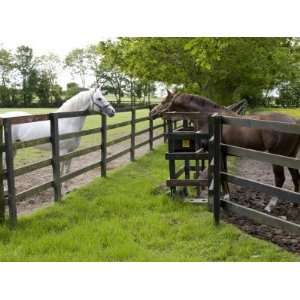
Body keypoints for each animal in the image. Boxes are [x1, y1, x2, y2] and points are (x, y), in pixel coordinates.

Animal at [151, 91, 300, 211]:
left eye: (165, 101)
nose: (152, 112)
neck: (208, 117)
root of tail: (293, 121)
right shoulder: (223, 154)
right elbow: (224, 173)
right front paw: (225, 196)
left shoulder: (218, 153)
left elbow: (220, 173)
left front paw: (226, 197)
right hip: (290, 156)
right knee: (295, 176)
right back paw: (294, 204)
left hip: (278, 157)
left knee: (280, 179)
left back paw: (269, 206)